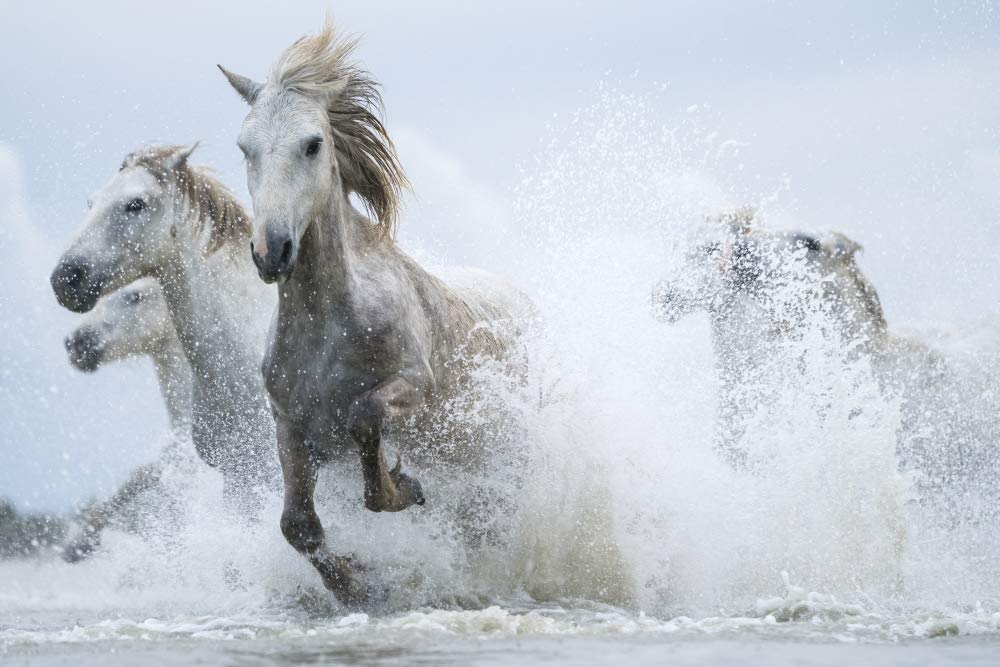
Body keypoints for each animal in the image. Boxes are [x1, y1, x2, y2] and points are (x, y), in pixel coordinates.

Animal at [219, 20, 533, 606]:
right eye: (244, 147)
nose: (272, 251)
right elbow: (297, 525)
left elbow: (366, 418)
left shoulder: (415, 386)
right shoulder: (290, 426)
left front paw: (403, 487)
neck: (328, 331)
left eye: (313, 144)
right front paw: (354, 586)